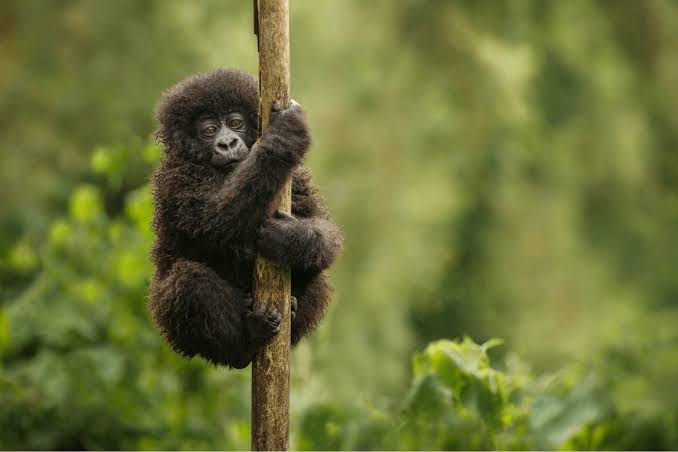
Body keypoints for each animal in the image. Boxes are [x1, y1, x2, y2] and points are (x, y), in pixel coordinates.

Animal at [149, 69, 343, 369]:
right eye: (209, 130)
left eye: (235, 122)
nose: (227, 142)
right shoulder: (177, 179)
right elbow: (216, 222)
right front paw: (282, 136)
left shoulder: (296, 178)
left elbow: (323, 229)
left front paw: (290, 240)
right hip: (175, 331)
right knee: (189, 280)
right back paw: (244, 344)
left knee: (318, 274)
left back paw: (292, 309)